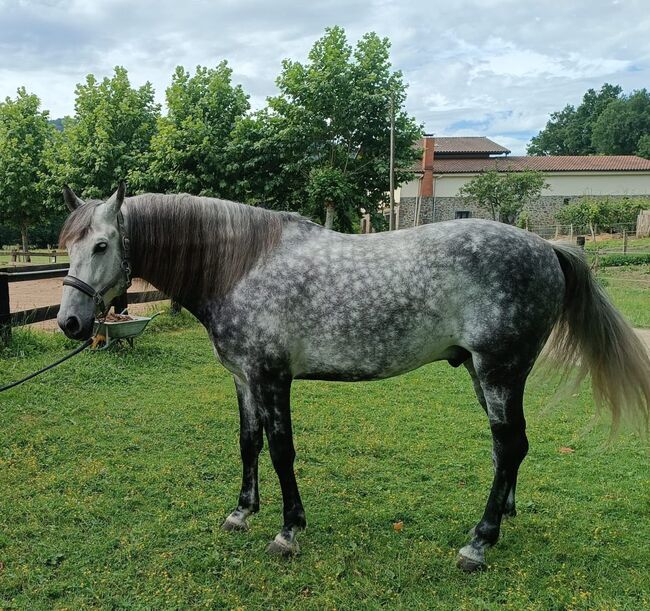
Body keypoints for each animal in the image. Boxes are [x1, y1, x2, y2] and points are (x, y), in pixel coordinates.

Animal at [57, 186, 648, 572]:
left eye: (102, 245)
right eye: (68, 246)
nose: (70, 322)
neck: (241, 266)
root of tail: (547, 247)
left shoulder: (272, 378)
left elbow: (281, 451)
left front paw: (288, 531)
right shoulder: (244, 379)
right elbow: (248, 443)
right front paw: (242, 513)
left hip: (499, 371)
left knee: (508, 446)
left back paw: (478, 543)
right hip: (488, 376)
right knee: (513, 447)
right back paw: (502, 517)